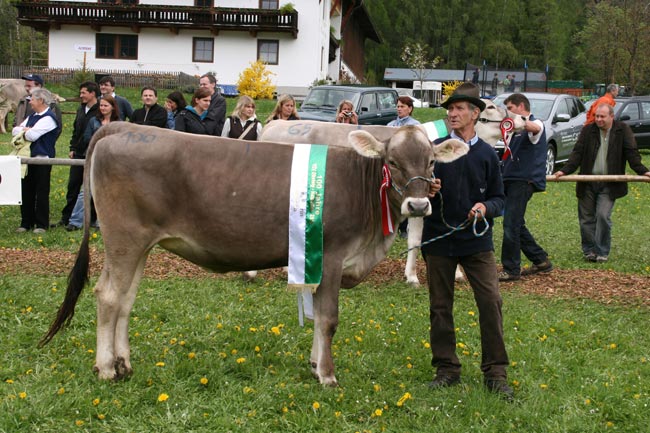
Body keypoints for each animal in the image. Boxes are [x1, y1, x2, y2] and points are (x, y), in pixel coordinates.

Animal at [40, 120, 466, 384]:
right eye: (391, 162)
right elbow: (328, 318)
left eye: (431, 162)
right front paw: (328, 375)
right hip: (125, 240)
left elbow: (316, 318)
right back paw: (106, 368)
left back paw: (123, 362)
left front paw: (315, 365)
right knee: (108, 296)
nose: (418, 206)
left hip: (137, 246)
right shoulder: (330, 257)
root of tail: (125, 128)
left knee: (125, 300)